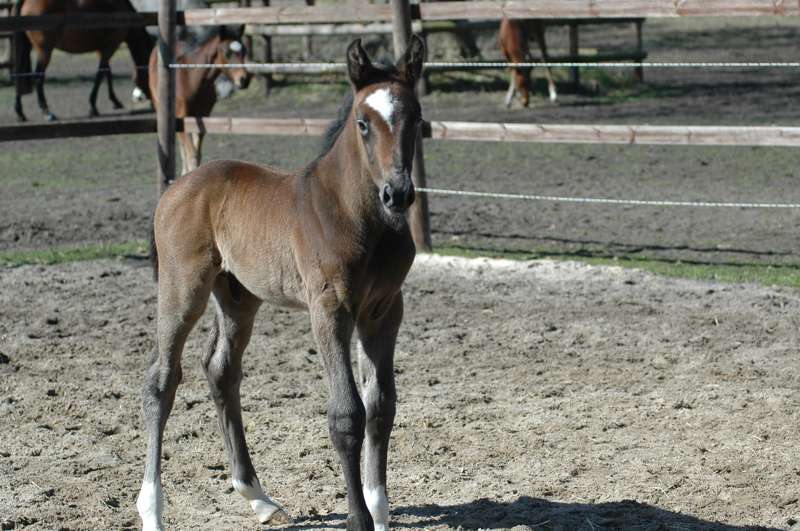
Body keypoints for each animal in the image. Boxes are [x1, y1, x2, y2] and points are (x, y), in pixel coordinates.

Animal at [148, 27, 251, 176]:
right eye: (227, 53)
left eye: (244, 51)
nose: (244, 80)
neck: (193, 79)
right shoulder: (182, 118)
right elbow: (190, 154)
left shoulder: (202, 116)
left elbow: (197, 152)